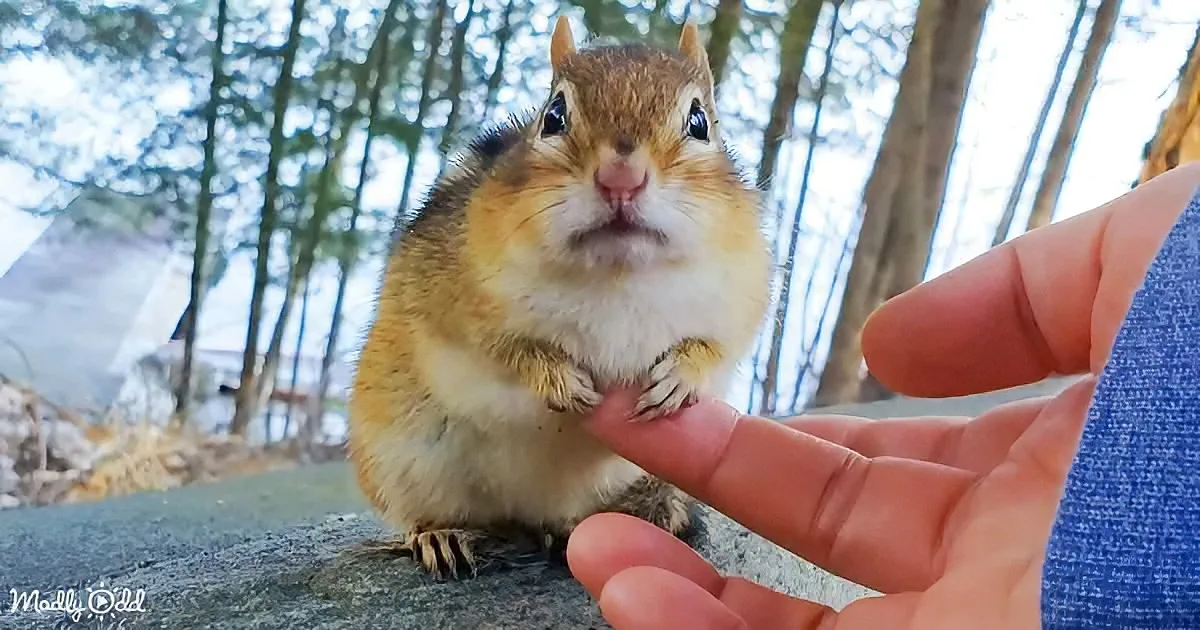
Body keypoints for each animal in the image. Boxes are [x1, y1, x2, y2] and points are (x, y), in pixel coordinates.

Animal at [347, 15, 772, 581]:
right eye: (553, 115)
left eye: (700, 121)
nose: (621, 179)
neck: (618, 274)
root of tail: (529, 513)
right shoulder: (454, 300)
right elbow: (501, 349)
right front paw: (556, 377)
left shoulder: (740, 299)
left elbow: (717, 346)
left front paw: (681, 374)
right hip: (400, 458)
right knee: (425, 515)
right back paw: (440, 536)